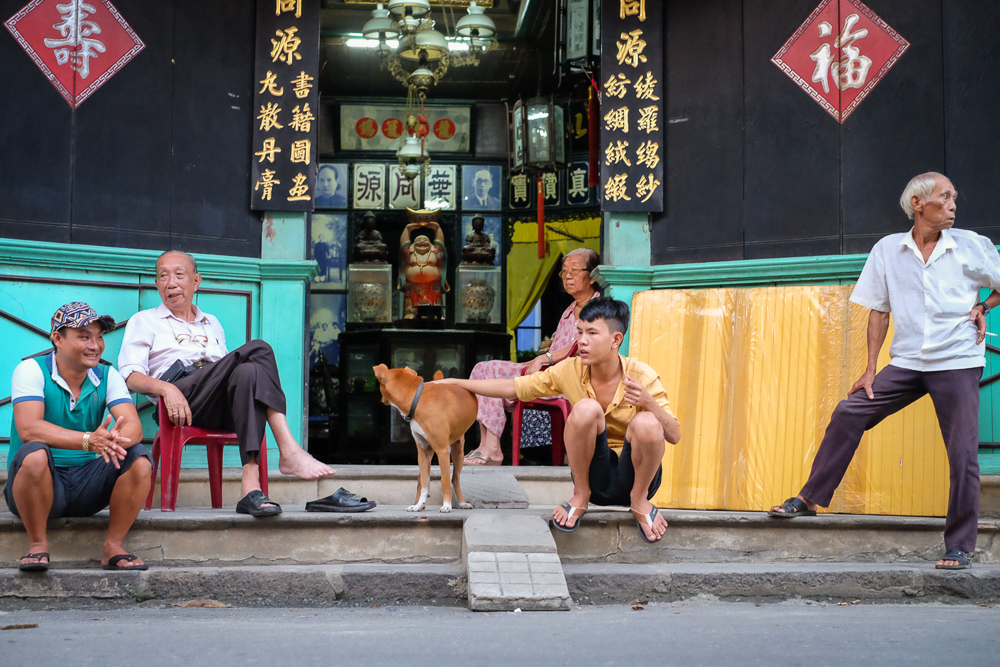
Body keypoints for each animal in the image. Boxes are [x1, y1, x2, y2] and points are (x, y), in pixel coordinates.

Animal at [372, 366, 476, 512]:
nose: (382, 399)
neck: (417, 400)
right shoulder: (423, 452)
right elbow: (424, 484)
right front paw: (418, 505)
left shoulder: (443, 451)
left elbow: (445, 481)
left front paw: (447, 505)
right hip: (429, 452)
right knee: (421, 480)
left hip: (458, 453)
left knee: (455, 480)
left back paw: (462, 502)